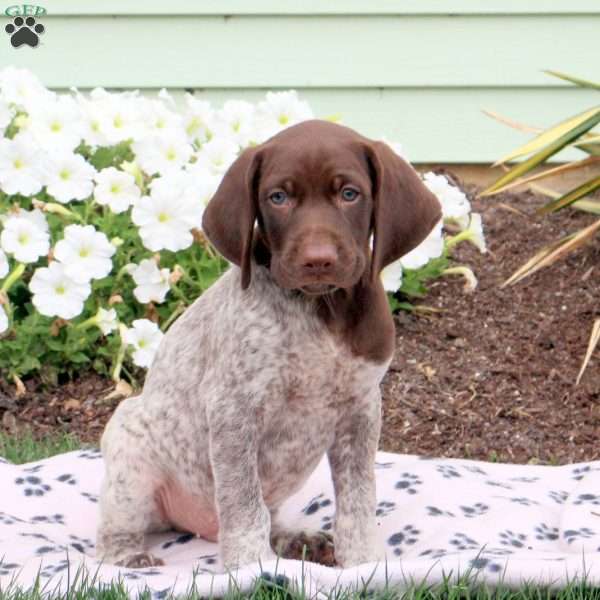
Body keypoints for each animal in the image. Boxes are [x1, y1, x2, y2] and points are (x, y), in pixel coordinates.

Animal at [95, 118, 440, 572]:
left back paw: (295, 541)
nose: (317, 260)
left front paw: (363, 563)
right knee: (111, 534)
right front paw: (251, 569)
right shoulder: (234, 409)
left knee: (269, 517)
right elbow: (244, 504)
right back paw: (129, 555)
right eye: (278, 198)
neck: (320, 307)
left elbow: (358, 501)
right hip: (129, 450)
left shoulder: (362, 408)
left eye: (350, 194)